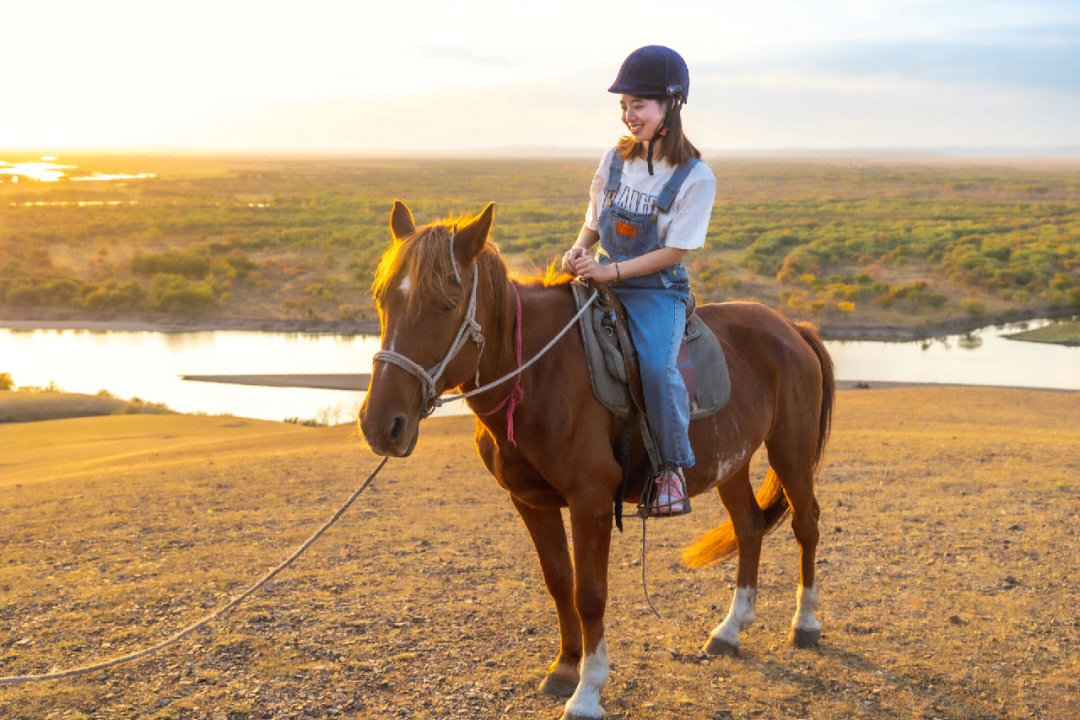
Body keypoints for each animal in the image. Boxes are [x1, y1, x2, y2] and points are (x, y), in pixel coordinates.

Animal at [358, 199, 829, 716]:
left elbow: (590, 594)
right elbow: (559, 580)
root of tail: (792, 328)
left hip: (790, 448)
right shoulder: (531, 502)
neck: (540, 373)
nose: (380, 425)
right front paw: (565, 667)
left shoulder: (592, 500)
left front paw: (587, 690)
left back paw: (805, 624)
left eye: (444, 303)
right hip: (734, 462)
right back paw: (729, 630)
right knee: (748, 527)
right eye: (383, 299)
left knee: (806, 521)